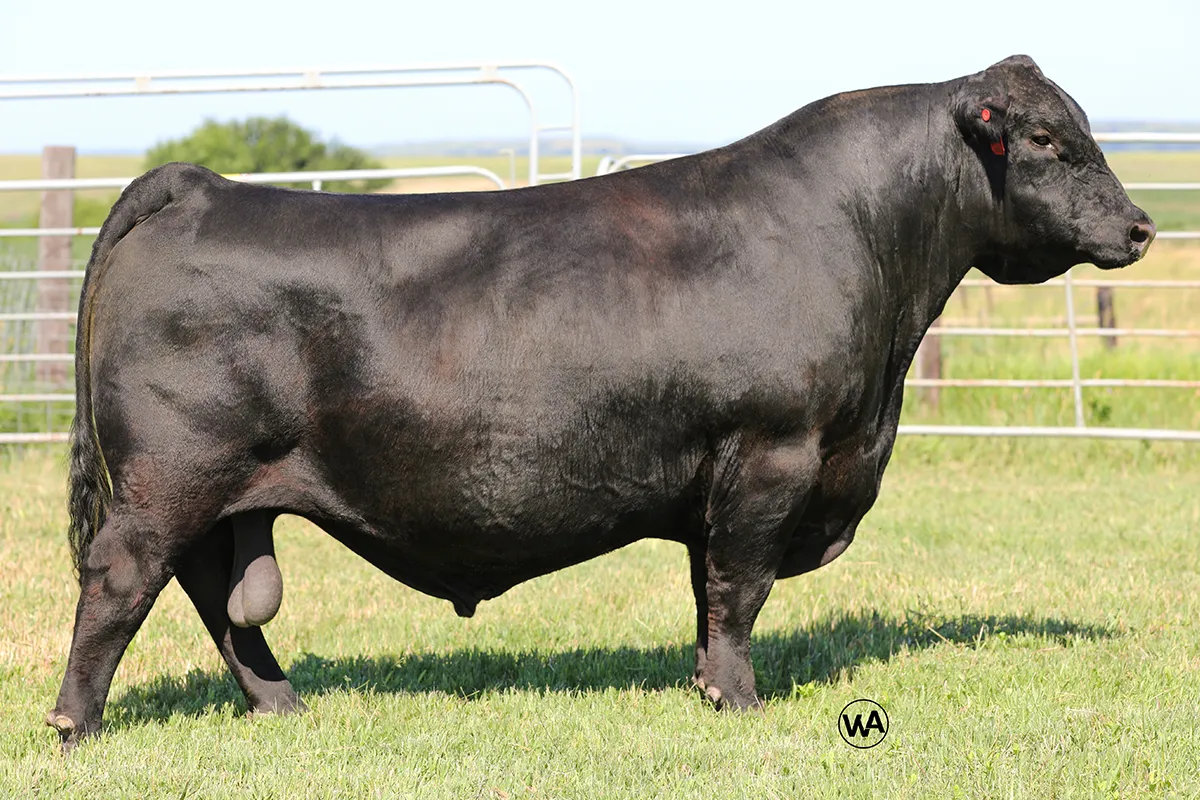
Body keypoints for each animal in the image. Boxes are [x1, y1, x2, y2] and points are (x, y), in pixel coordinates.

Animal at [46, 55, 1154, 749]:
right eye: (1046, 137)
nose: (1142, 225)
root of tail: (203, 184)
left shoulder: (724, 474)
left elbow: (709, 591)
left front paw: (707, 686)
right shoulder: (771, 451)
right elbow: (740, 589)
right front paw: (741, 703)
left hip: (219, 493)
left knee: (219, 599)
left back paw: (280, 705)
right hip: (168, 477)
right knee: (121, 579)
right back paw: (74, 722)